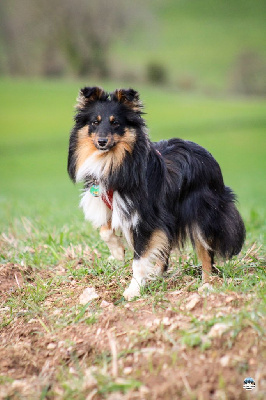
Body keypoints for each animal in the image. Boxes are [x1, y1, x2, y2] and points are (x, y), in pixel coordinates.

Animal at [68, 87, 245, 300]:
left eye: (115, 123)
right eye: (95, 122)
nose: (102, 142)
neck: (114, 162)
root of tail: (208, 156)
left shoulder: (144, 218)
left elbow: (139, 258)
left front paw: (133, 290)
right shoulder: (109, 204)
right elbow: (105, 230)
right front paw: (118, 253)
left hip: (202, 214)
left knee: (205, 252)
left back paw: (206, 285)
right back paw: (158, 273)